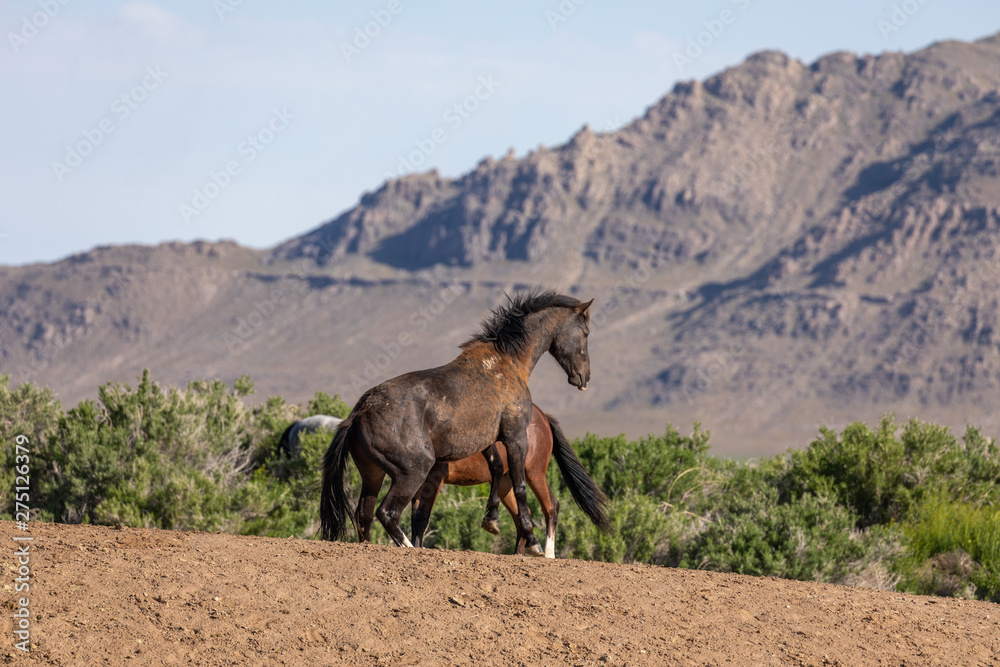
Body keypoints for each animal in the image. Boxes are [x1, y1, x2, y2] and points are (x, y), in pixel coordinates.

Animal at [409, 403, 611, 557]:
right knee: (522, 514)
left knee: (551, 506)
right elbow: (414, 518)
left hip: (534, 473)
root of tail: (543, 417)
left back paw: (548, 554)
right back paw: (518, 553)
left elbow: (422, 517)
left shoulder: (435, 478)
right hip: (506, 483)